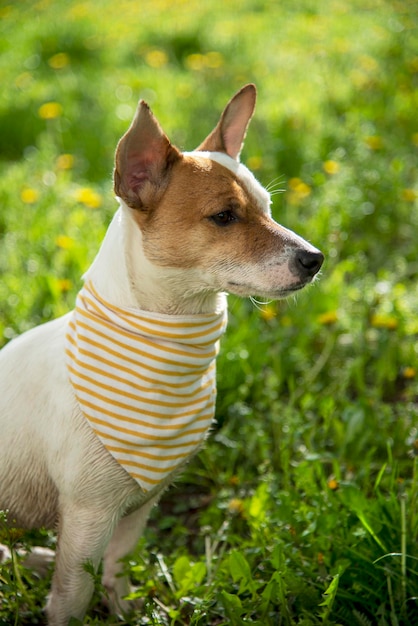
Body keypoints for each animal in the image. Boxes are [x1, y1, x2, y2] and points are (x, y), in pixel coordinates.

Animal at [0, 84, 324, 624]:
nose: (316, 259)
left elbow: (116, 573)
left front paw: (127, 609)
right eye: (224, 217)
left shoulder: (136, 509)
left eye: (268, 207)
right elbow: (72, 598)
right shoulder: (88, 517)